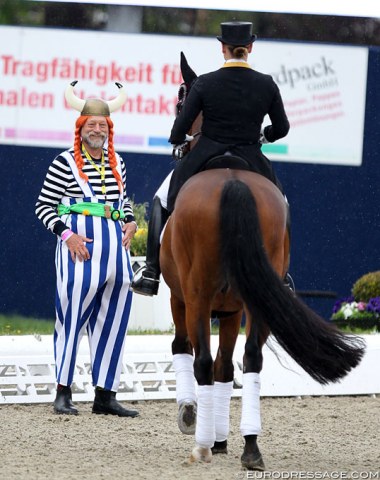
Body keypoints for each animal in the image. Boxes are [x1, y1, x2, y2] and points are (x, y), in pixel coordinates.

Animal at [158, 52, 366, 468]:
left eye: (180, 98)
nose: (176, 145)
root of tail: (233, 180)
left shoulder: (180, 297)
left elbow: (186, 349)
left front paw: (191, 416)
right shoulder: (233, 308)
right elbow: (226, 366)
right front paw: (223, 438)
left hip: (197, 293)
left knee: (202, 359)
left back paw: (201, 444)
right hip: (256, 298)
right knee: (250, 358)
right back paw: (250, 447)